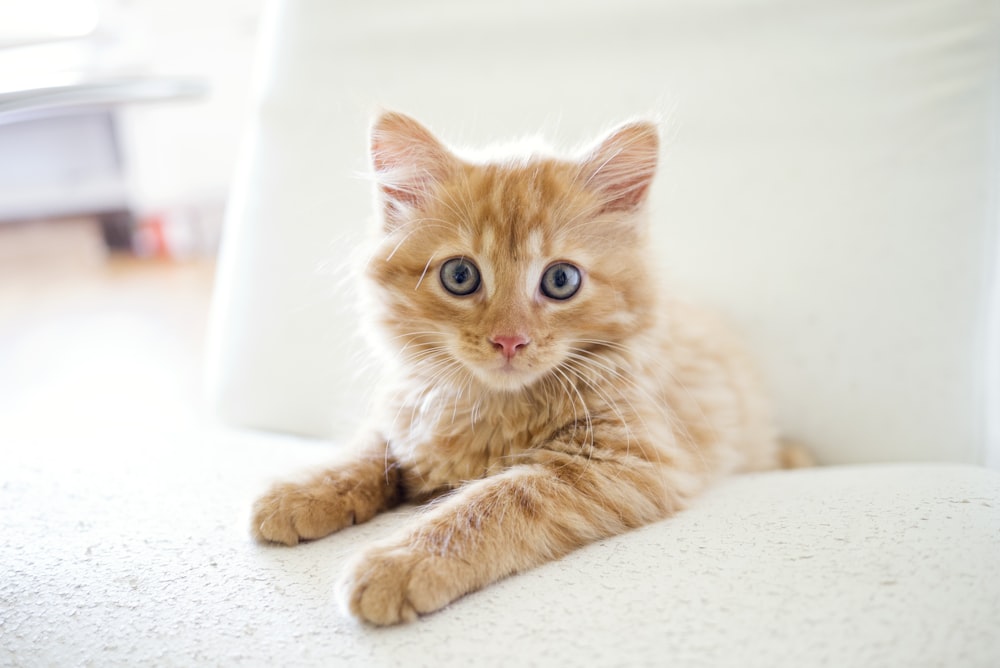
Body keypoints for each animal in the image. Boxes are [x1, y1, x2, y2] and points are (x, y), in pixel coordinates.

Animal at [252, 111, 788, 628]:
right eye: (460, 275)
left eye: (561, 280)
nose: (509, 340)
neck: (492, 406)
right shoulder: (407, 409)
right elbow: (369, 448)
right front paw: (303, 490)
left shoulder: (627, 459)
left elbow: (496, 499)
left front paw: (402, 562)